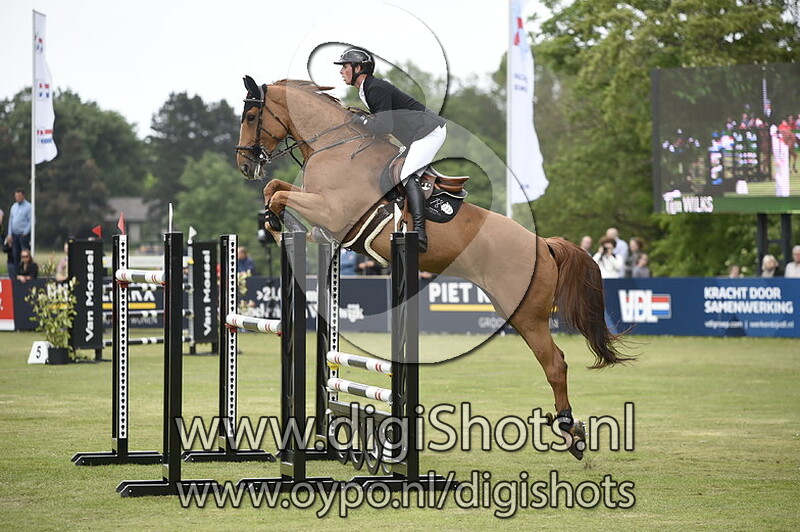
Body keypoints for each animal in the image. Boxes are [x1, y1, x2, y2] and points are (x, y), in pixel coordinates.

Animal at [235, 77, 632, 459]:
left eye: (251, 117)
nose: (244, 165)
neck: (335, 146)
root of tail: (543, 244)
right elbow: (275, 188)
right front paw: (277, 223)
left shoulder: (333, 211)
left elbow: (279, 194)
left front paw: (277, 225)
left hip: (526, 314)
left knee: (555, 364)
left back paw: (571, 431)